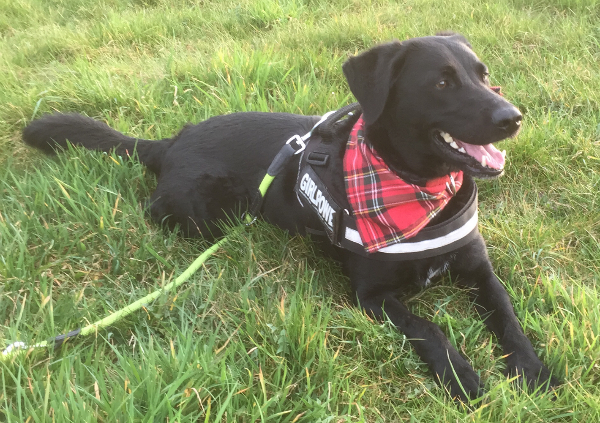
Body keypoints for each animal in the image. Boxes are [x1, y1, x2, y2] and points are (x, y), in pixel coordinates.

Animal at [22, 33, 556, 400]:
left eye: (484, 76)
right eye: (443, 82)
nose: (513, 117)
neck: (416, 188)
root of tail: (172, 140)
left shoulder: (479, 270)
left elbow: (506, 314)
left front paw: (533, 369)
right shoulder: (373, 296)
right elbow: (431, 329)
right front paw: (463, 377)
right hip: (203, 214)